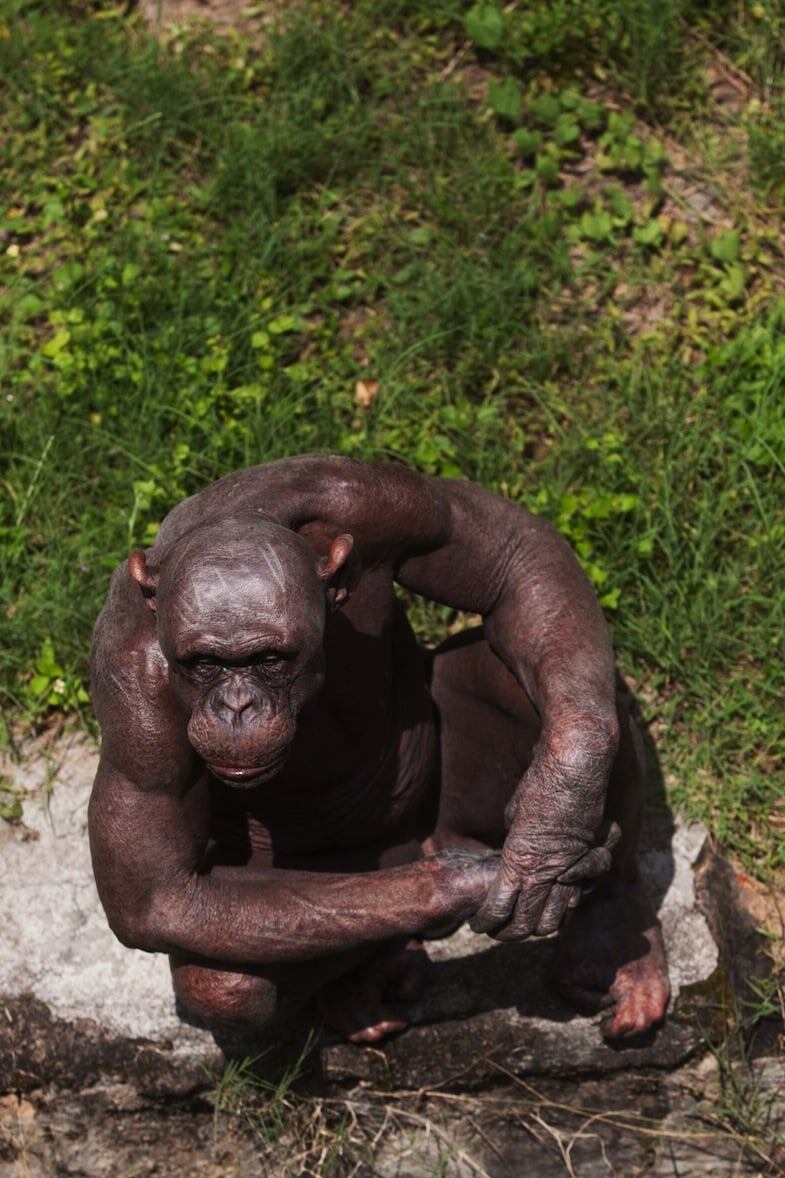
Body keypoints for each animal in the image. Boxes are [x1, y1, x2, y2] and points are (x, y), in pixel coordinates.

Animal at [90, 454, 664, 1046]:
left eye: (269, 657)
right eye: (204, 663)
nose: (237, 705)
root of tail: (424, 839)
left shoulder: (378, 500)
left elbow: (510, 555)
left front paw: (553, 825)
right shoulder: (134, 694)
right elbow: (160, 896)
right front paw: (470, 883)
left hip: (445, 804)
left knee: (553, 686)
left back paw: (610, 936)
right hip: (375, 867)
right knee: (226, 982)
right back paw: (367, 983)